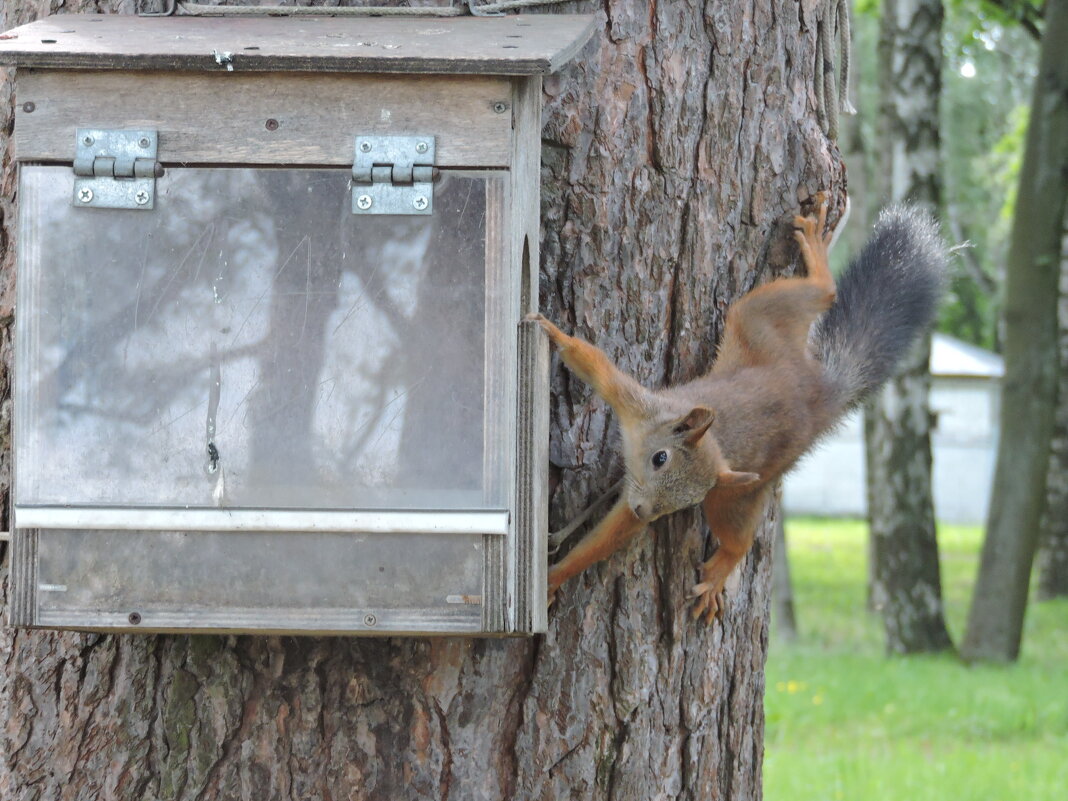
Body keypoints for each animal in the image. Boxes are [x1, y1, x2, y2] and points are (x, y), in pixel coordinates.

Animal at [529, 197, 948, 623]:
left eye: (688, 501)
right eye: (660, 459)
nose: (646, 511)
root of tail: (817, 393)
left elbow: (611, 534)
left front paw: (554, 576)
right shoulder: (638, 407)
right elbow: (591, 363)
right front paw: (551, 330)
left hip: (746, 476)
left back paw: (721, 571)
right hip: (762, 325)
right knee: (813, 297)